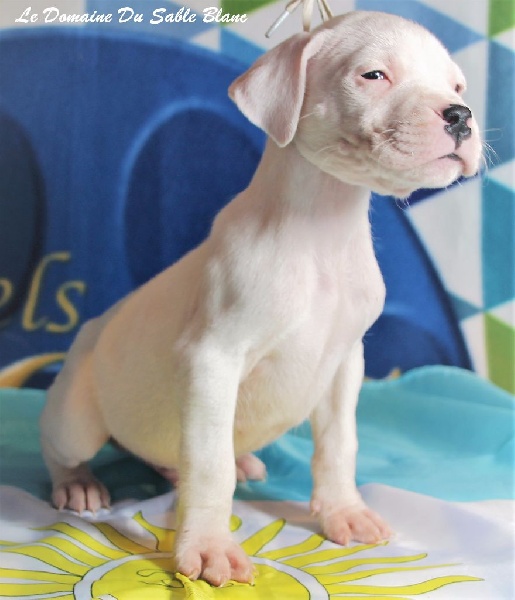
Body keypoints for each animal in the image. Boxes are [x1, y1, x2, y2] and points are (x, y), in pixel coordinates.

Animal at [40, 10, 482, 587]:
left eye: (457, 87)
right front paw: (209, 545)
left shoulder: (346, 364)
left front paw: (344, 511)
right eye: (373, 76)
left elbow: (339, 444)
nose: (461, 115)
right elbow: (209, 466)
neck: (323, 230)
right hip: (77, 415)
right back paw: (77, 483)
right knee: (63, 447)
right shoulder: (212, 361)